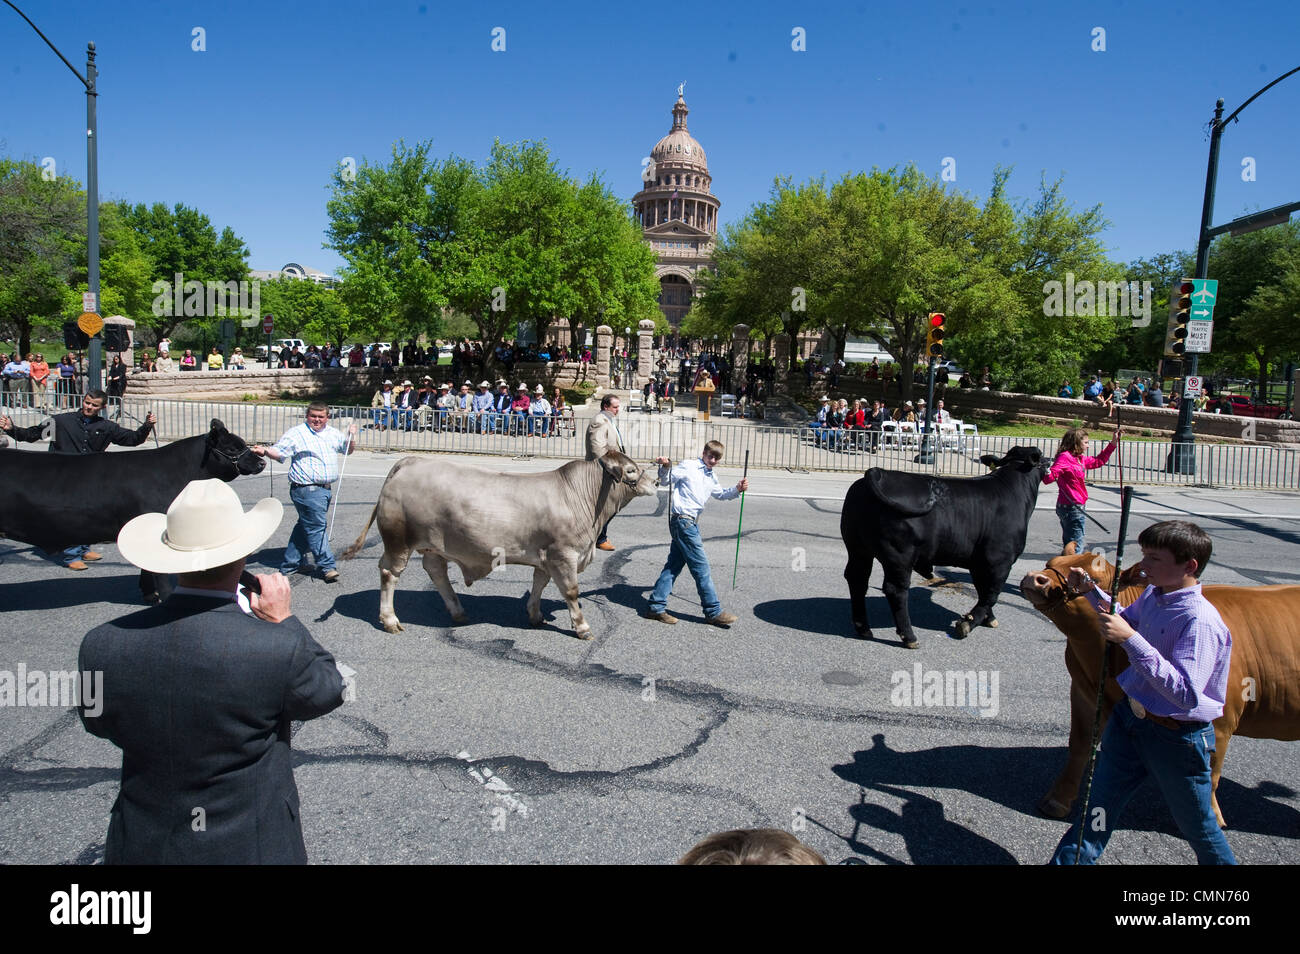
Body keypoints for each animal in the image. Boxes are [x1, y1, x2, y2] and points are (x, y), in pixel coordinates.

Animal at [340, 449, 655, 642]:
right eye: (630, 470)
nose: (653, 481)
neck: (583, 497)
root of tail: (408, 461)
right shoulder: (563, 554)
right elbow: (571, 591)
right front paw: (582, 627)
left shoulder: (545, 556)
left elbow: (539, 584)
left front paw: (535, 615)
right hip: (398, 541)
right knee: (389, 574)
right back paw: (390, 620)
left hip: (432, 545)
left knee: (437, 572)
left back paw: (458, 611)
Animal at [842, 447, 1045, 649]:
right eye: (1043, 459)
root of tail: (878, 472)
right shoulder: (1000, 560)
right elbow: (991, 594)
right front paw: (968, 623)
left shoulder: (979, 562)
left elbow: (982, 590)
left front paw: (988, 619)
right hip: (900, 554)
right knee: (895, 589)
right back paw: (909, 637)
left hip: (858, 548)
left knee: (857, 579)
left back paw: (863, 628)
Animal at [1019, 553, 1294, 831]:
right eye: (1052, 562)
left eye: (1093, 578)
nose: (1034, 578)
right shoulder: (1085, 694)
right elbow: (1079, 745)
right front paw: (1057, 800)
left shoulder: (1220, 721)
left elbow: (1211, 774)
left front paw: (1211, 820)